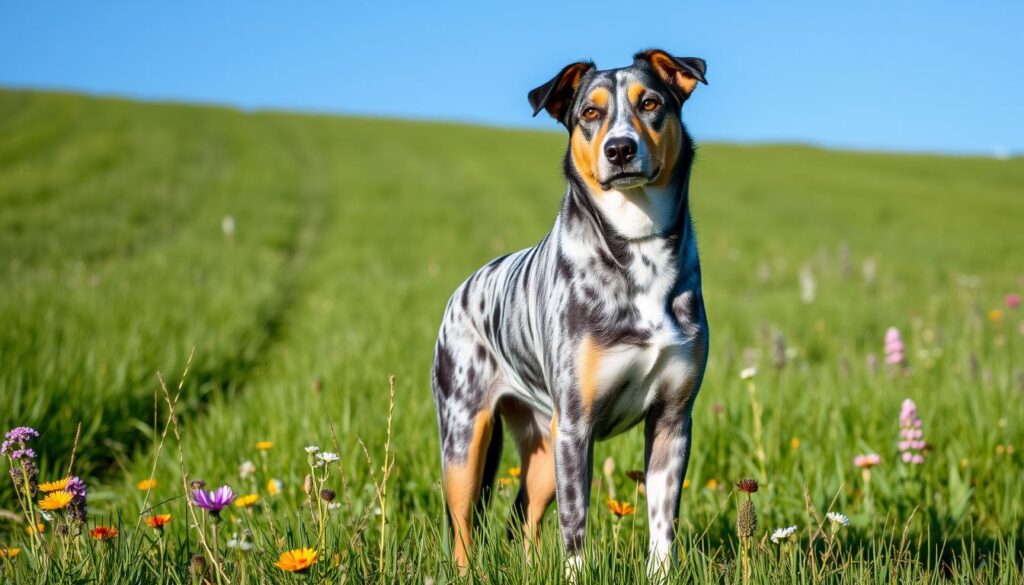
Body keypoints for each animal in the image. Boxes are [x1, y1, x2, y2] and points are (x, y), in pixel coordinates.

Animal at [428, 48, 708, 577]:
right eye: (589, 113)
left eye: (650, 102)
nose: (619, 149)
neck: (638, 248)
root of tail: (463, 289)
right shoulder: (576, 425)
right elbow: (575, 524)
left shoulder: (672, 420)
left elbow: (663, 522)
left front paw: (660, 573)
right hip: (466, 435)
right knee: (462, 527)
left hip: (543, 442)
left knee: (524, 517)